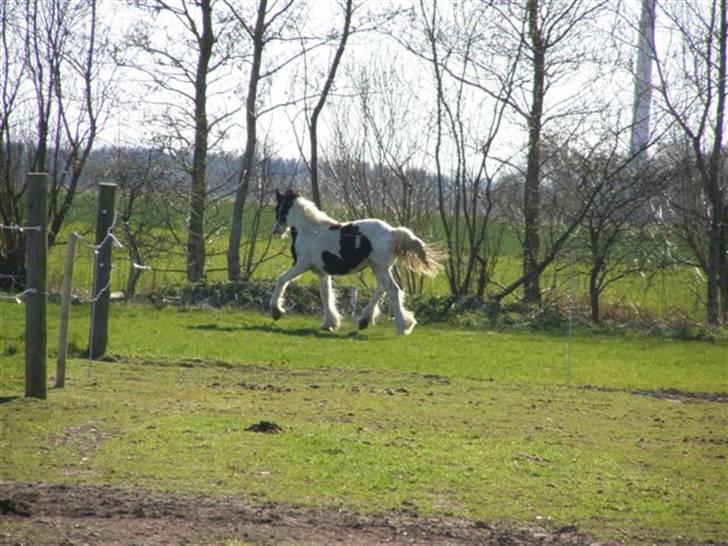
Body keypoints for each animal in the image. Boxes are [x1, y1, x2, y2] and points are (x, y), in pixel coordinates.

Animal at [272, 189, 440, 334]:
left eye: (277, 208)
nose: (275, 231)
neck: (309, 230)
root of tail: (392, 232)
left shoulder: (301, 265)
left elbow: (281, 280)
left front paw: (276, 311)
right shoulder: (322, 272)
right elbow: (325, 295)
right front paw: (329, 324)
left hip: (380, 269)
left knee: (393, 290)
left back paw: (401, 328)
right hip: (381, 268)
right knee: (383, 289)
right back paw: (365, 320)